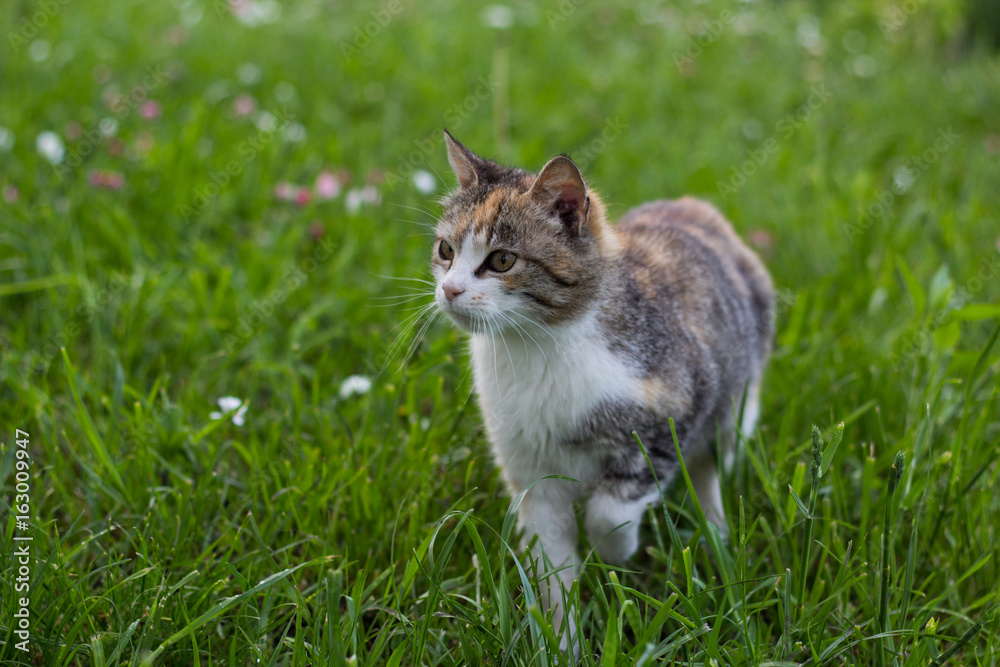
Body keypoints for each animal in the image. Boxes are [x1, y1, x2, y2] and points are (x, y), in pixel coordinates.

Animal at [430, 132, 772, 652]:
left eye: (502, 260)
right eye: (446, 250)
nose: (449, 290)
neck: (538, 350)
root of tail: (693, 208)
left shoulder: (671, 412)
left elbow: (609, 511)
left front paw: (616, 552)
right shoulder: (532, 473)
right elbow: (553, 567)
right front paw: (561, 643)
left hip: (738, 399)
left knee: (712, 460)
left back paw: (715, 531)